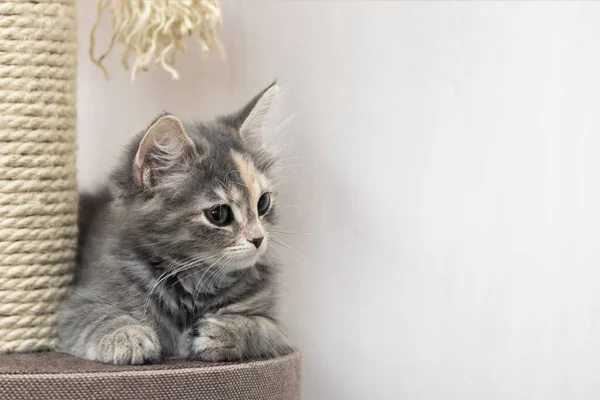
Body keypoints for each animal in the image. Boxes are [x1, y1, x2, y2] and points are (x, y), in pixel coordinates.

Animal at [57, 83, 292, 364]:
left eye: (263, 203)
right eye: (219, 214)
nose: (258, 239)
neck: (196, 279)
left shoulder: (276, 328)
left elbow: (257, 327)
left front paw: (223, 331)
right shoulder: (76, 305)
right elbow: (96, 318)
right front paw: (128, 336)